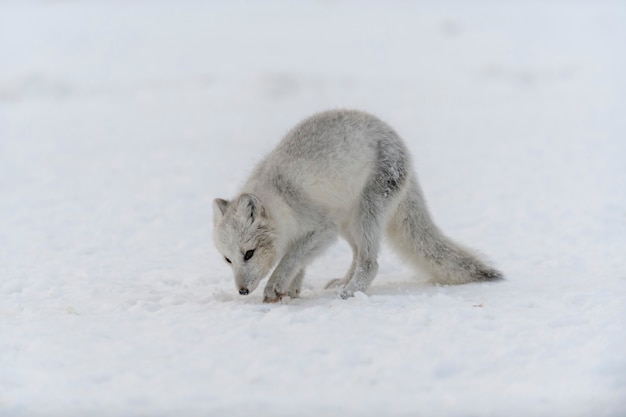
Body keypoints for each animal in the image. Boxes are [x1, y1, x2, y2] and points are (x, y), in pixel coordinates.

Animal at [212, 109, 500, 300]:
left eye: (248, 253)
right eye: (227, 259)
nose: (242, 291)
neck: (279, 196)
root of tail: (400, 144)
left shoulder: (322, 229)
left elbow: (291, 258)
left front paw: (276, 285)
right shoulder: (312, 234)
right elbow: (299, 261)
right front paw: (291, 290)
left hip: (368, 213)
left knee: (370, 262)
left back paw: (350, 291)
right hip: (349, 223)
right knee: (357, 255)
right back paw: (342, 283)